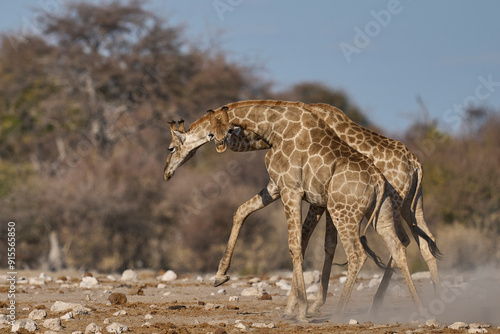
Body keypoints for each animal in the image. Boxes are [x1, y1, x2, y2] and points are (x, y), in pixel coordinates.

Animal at [164, 102, 422, 320]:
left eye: (171, 147)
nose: (166, 172)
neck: (273, 131)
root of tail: (413, 163)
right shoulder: (279, 187)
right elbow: (242, 211)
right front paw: (221, 275)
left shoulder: (294, 191)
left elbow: (299, 245)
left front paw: (301, 309)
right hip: (388, 213)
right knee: (404, 246)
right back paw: (418, 308)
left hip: (347, 212)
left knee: (360, 254)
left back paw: (342, 312)